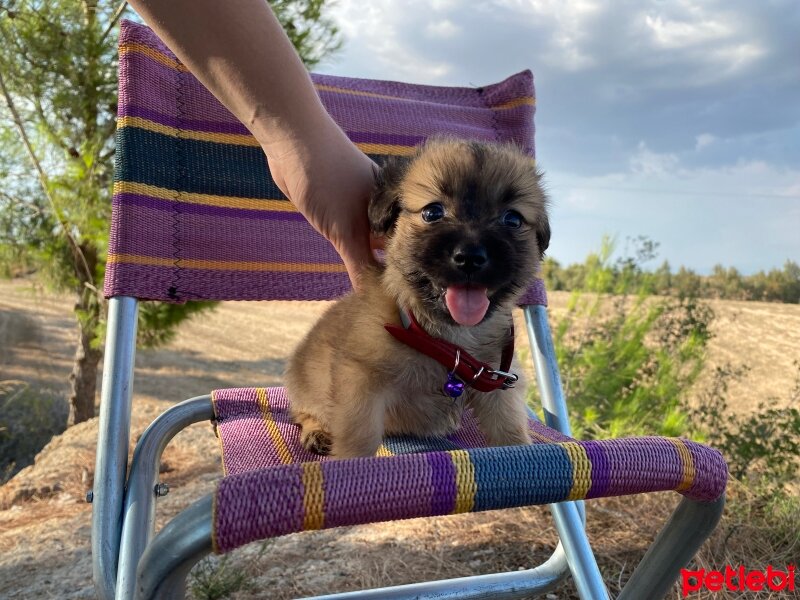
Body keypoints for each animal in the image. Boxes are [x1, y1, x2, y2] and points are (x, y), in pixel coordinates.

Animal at [288, 138, 552, 458]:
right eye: (432, 212)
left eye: (512, 219)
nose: (470, 257)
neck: (448, 343)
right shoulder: (360, 384)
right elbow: (359, 438)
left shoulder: (498, 387)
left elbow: (510, 431)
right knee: (304, 412)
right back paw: (316, 432)